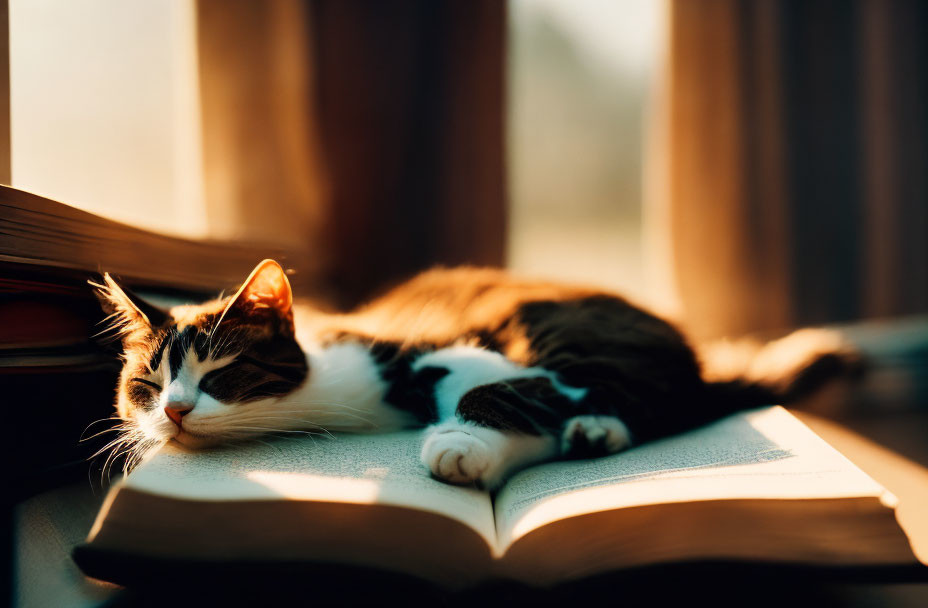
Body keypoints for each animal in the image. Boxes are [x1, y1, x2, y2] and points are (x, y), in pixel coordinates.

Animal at [90, 258, 860, 486]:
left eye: (222, 371)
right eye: (146, 388)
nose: (175, 412)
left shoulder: (435, 349)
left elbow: (505, 387)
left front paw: (461, 446)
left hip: (567, 328)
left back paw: (593, 426)